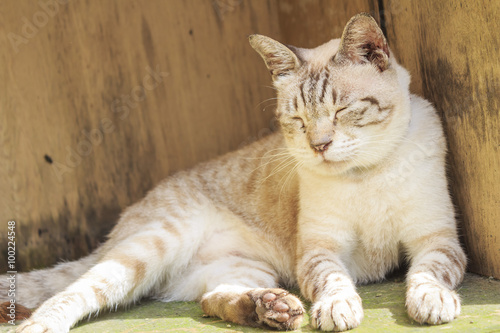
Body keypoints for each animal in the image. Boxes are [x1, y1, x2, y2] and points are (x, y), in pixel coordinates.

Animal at [1, 12, 466, 330]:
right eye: (297, 120)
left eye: (342, 110)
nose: (319, 146)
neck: (364, 174)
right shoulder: (319, 250)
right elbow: (333, 281)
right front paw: (337, 308)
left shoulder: (437, 238)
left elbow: (429, 273)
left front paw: (432, 302)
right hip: (150, 247)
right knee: (75, 291)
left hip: (239, 267)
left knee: (214, 299)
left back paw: (273, 308)